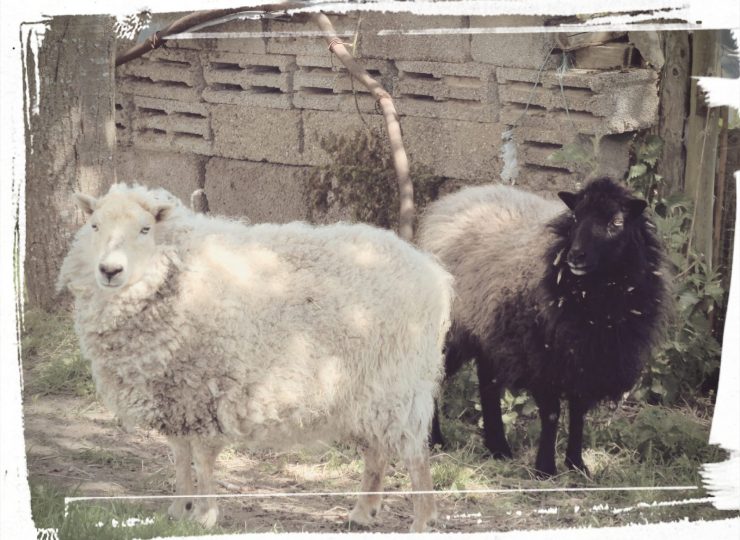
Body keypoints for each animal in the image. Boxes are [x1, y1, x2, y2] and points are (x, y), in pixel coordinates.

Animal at [57, 184, 450, 528]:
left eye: (144, 229)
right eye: (94, 226)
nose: (109, 271)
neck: (175, 271)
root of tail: (432, 272)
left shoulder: (203, 390)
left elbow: (202, 458)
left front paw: (205, 516)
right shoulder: (176, 396)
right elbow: (180, 456)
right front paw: (179, 509)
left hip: (398, 380)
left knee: (414, 452)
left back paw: (422, 519)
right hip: (370, 388)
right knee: (377, 449)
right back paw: (363, 513)